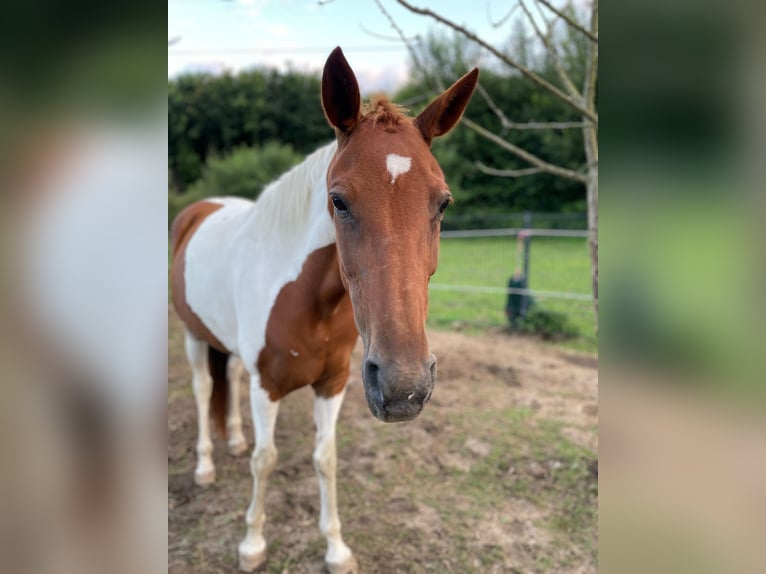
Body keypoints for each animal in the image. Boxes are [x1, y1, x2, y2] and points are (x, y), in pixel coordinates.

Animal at [170, 47, 478, 573]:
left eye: (443, 203)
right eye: (338, 200)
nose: (404, 387)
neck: (307, 300)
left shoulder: (333, 384)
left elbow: (325, 459)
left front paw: (336, 548)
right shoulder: (268, 388)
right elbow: (266, 460)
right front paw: (252, 544)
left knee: (227, 379)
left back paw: (233, 439)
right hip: (193, 337)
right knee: (203, 387)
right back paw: (206, 465)